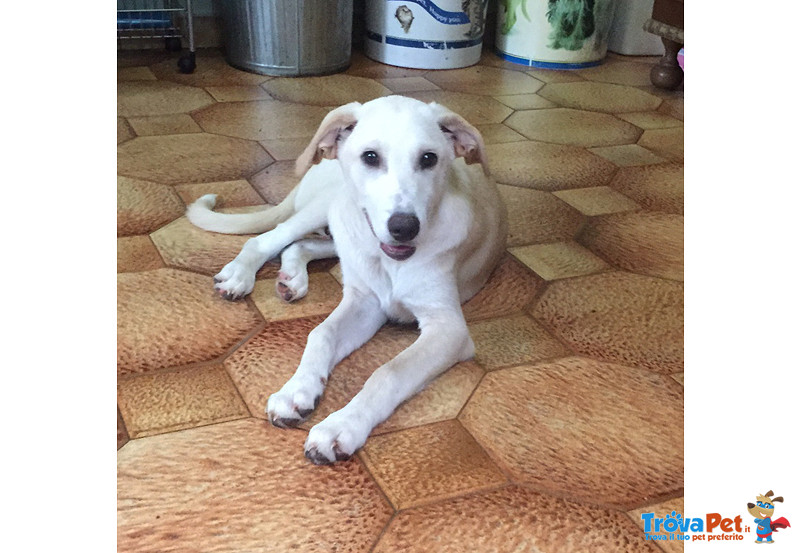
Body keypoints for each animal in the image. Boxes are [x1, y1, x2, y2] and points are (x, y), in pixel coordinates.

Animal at [188, 96, 506, 462]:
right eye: (370, 157)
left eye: (429, 158)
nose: (404, 227)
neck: (390, 263)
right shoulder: (366, 301)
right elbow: (321, 333)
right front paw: (296, 389)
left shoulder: (448, 328)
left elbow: (388, 371)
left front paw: (340, 425)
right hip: (329, 206)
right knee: (270, 237)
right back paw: (240, 275)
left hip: (340, 227)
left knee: (301, 244)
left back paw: (292, 278)